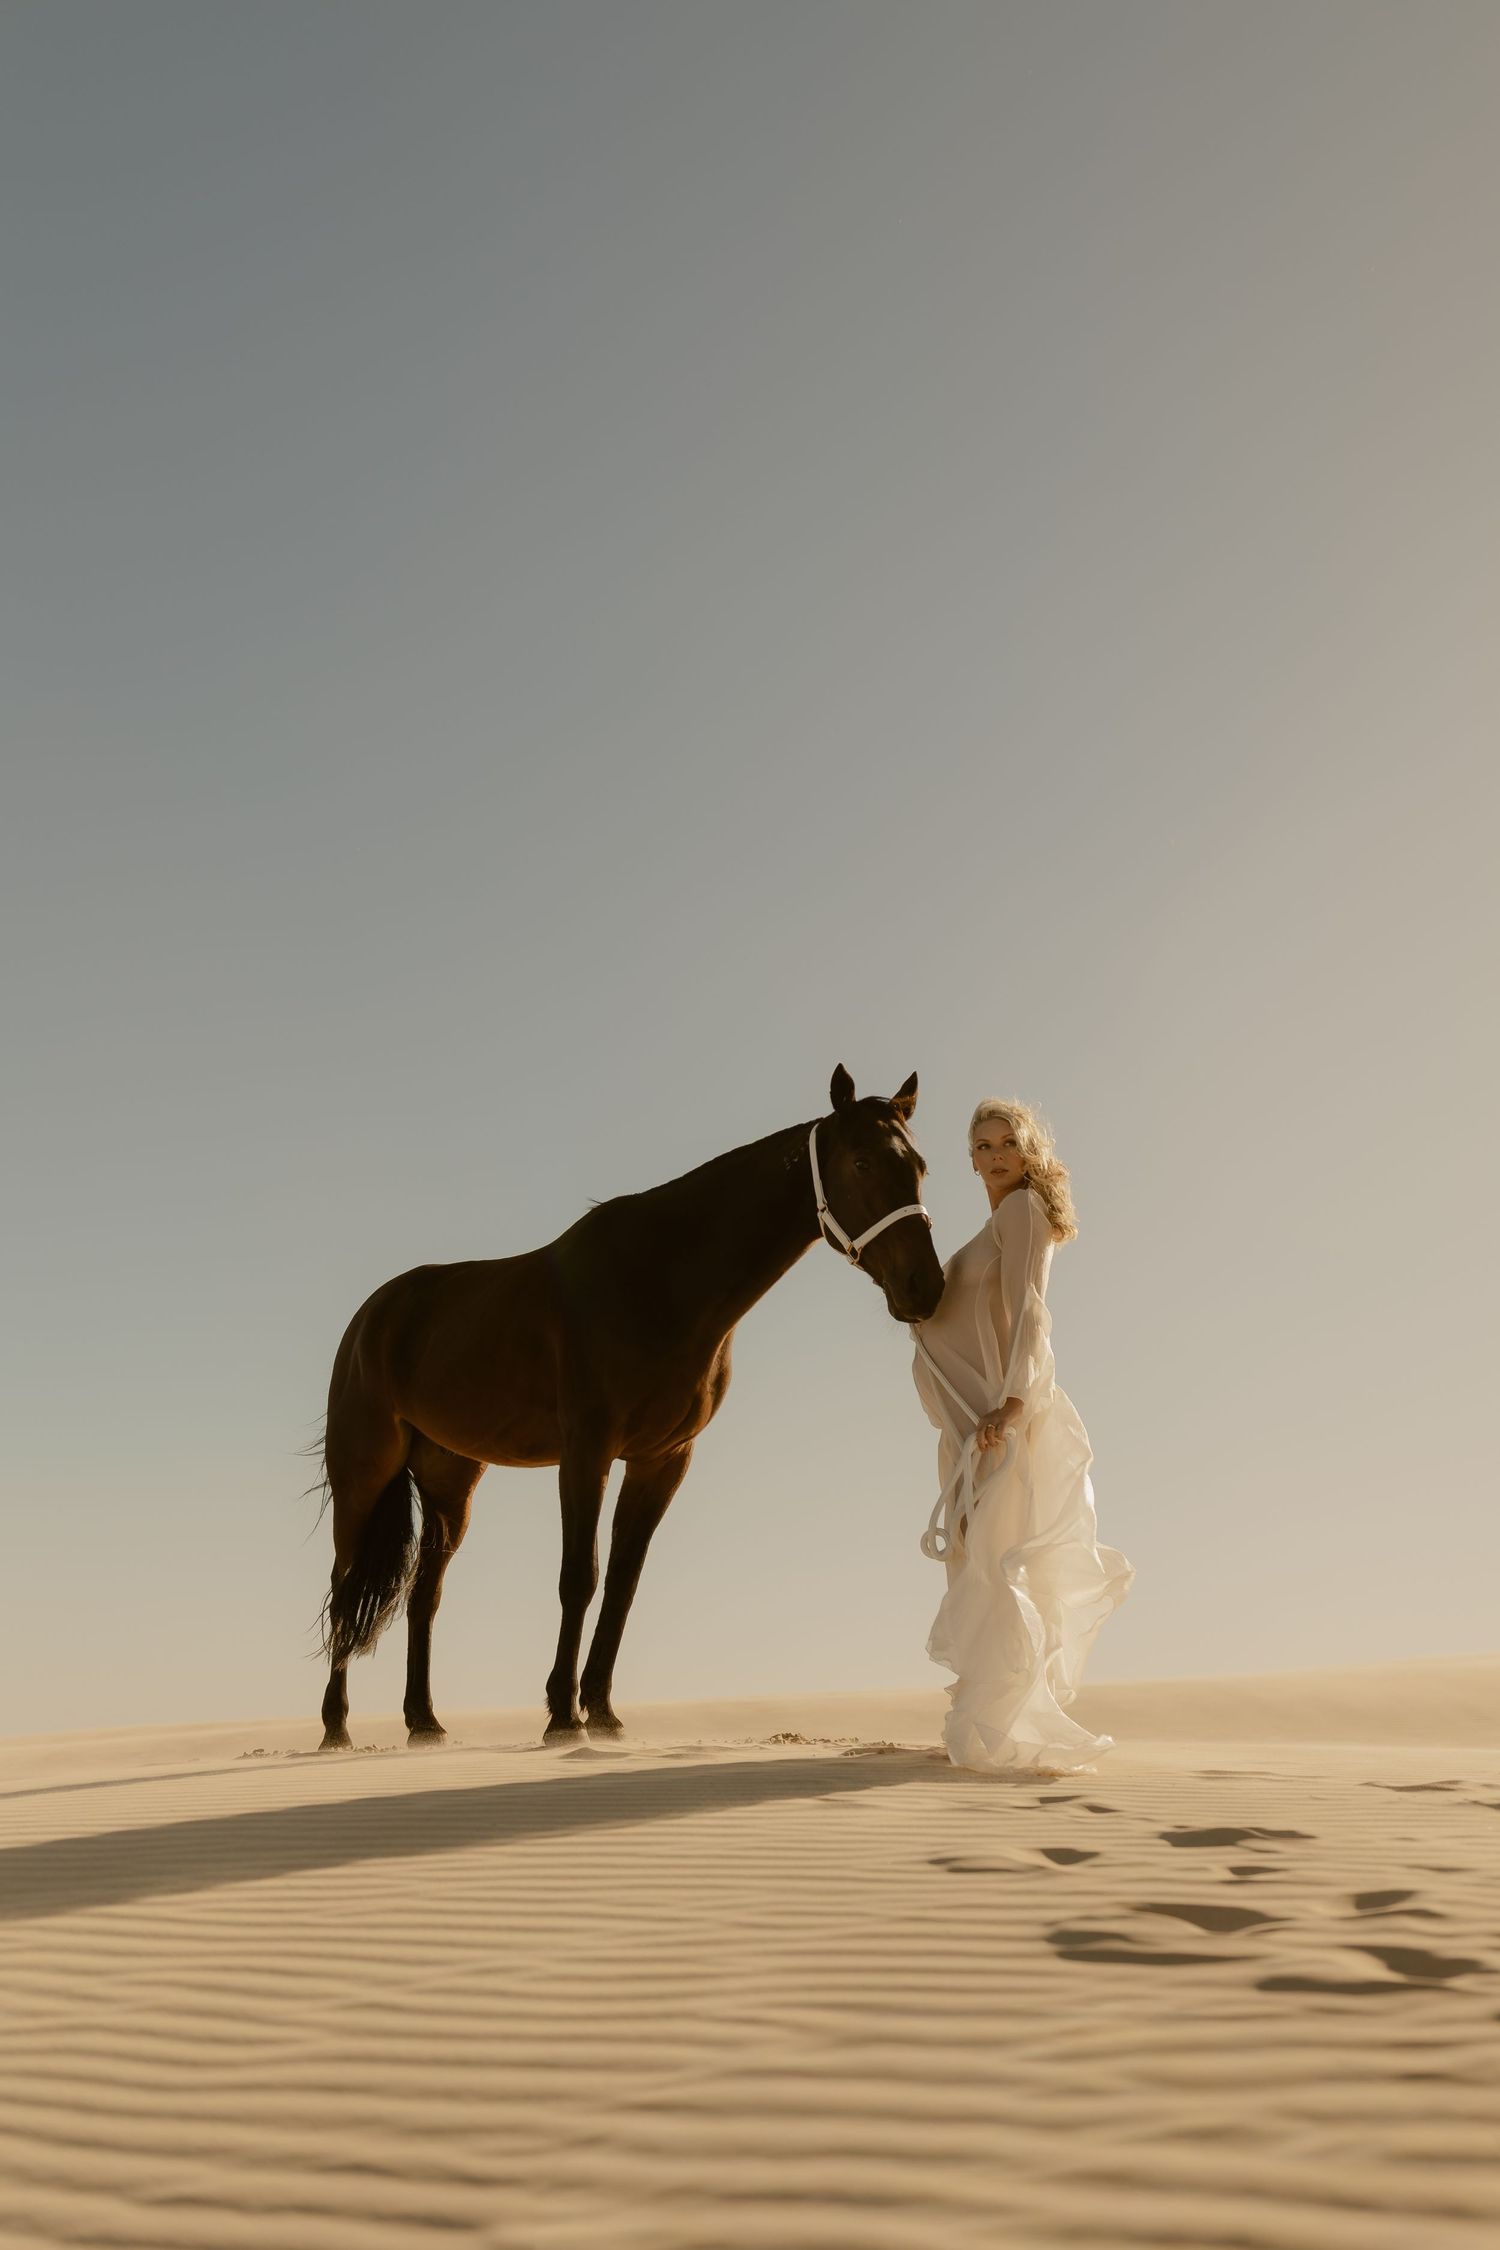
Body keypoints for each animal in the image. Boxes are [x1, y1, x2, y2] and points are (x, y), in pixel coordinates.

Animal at [315, 1064, 944, 1748]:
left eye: (920, 1165)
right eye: (861, 1161)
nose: (925, 1288)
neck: (661, 1281)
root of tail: (371, 1316)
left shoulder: (662, 1459)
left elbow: (622, 1583)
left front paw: (603, 1712)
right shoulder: (587, 1454)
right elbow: (580, 1577)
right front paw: (563, 1717)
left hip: (451, 1479)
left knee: (424, 1594)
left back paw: (425, 1722)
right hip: (364, 1474)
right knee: (344, 1584)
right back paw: (336, 1727)